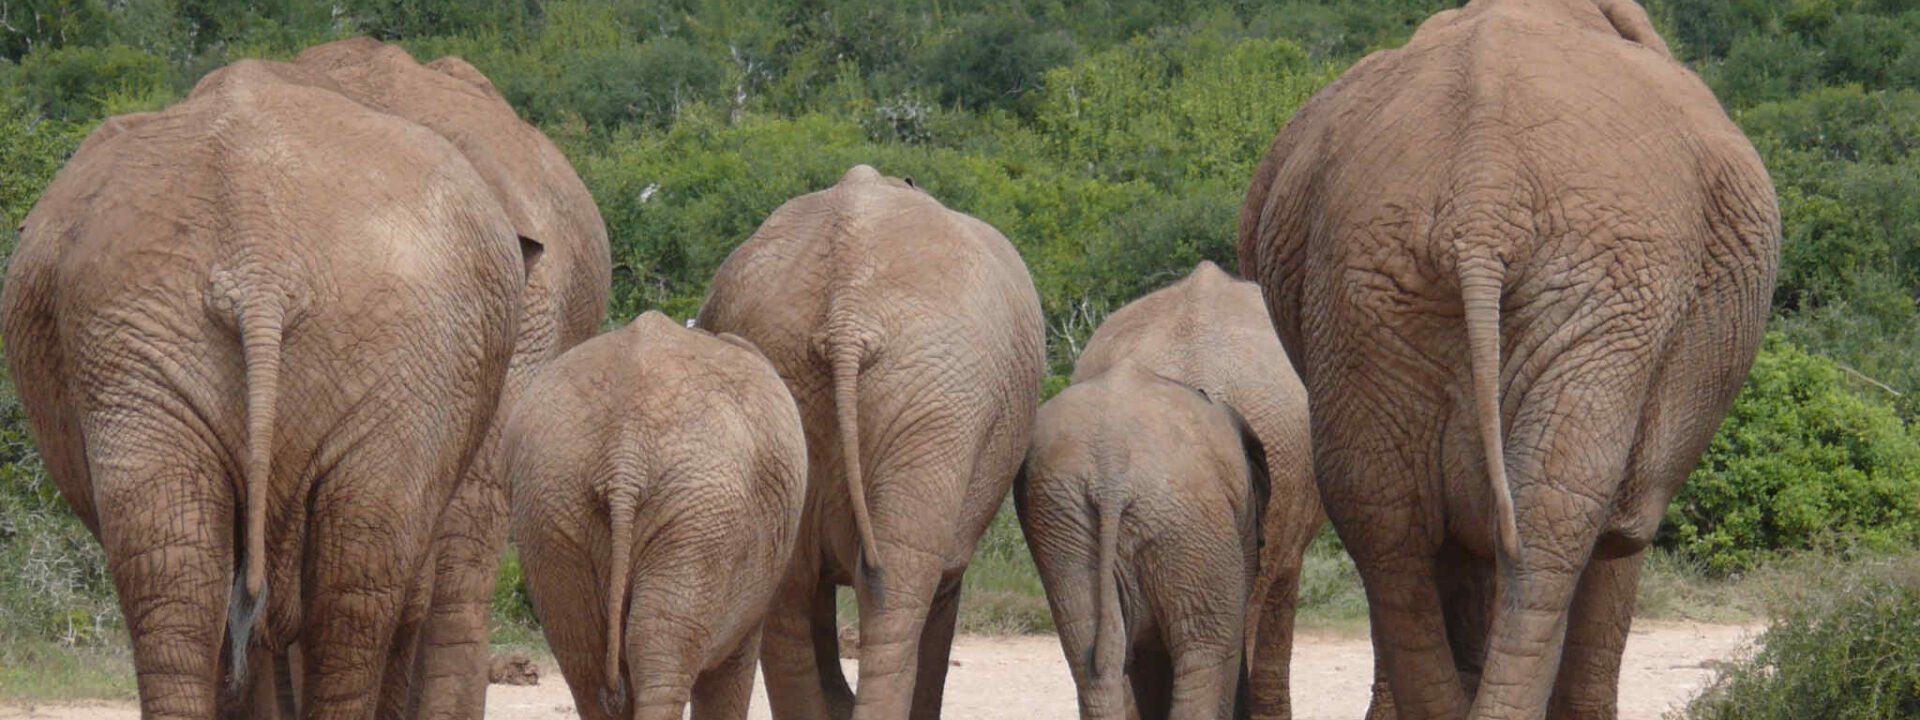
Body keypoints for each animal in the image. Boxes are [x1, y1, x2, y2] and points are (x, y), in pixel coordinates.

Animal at [1236, 1, 1780, 719]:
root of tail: (1481, 199)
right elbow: (1621, 533)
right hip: (1606, 286)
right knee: (1555, 513)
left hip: (1364, 290)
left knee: (1387, 519)